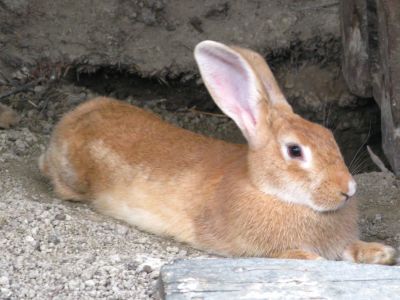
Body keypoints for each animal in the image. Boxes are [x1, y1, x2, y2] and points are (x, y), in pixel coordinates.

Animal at [38, 40, 396, 264]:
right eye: (295, 151)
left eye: (329, 136)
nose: (347, 190)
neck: (270, 192)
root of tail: (74, 117)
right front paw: (311, 257)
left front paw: (381, 253)